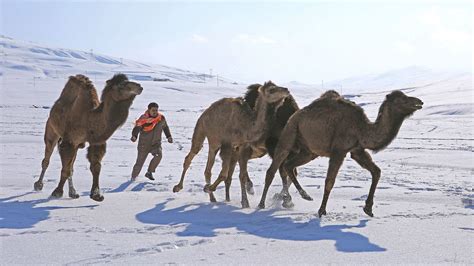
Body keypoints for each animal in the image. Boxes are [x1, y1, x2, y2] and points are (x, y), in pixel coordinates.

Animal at [258, 89, 424, 216]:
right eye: (401, 99)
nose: (419, 102)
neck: (361, 128)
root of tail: (294, 115)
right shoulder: (339, 150)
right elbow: (329, 181)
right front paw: (321, 211)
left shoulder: (357, 150)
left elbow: (376, 171)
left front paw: (368, 208)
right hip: (289, 133)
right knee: (273, 169)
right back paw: (261, 204)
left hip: (309, 151)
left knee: (289, 166)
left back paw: (303, 196)